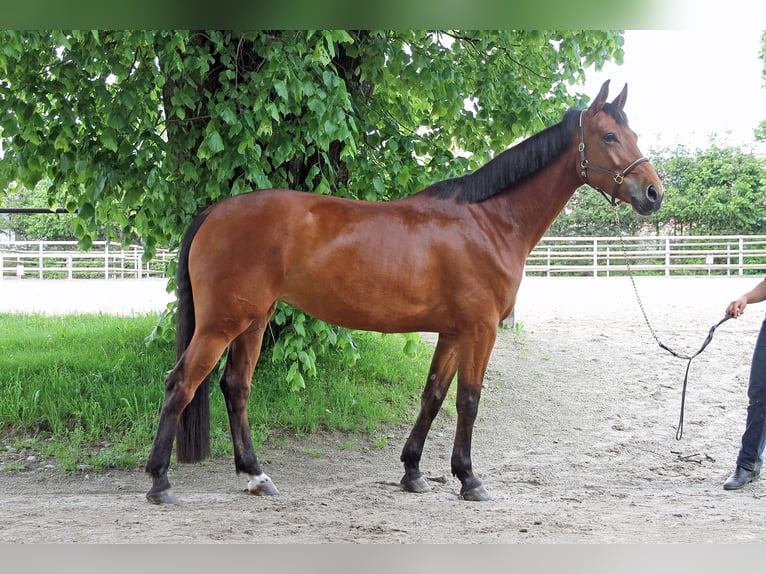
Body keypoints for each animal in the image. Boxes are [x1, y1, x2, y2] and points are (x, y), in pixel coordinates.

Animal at [146, 81, 664, 504]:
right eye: (609, 137)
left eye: (635, 133)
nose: (654, 193)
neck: (489, 221)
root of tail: (215, 211)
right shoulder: (481, 330)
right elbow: (468, 400)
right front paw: (469, 479)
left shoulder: (454, 331)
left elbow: (433, 395)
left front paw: (413, 471)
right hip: (221, 324)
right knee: (179, 384)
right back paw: (160, 481)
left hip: (254, 319)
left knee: (236, 387)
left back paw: (256, 476)